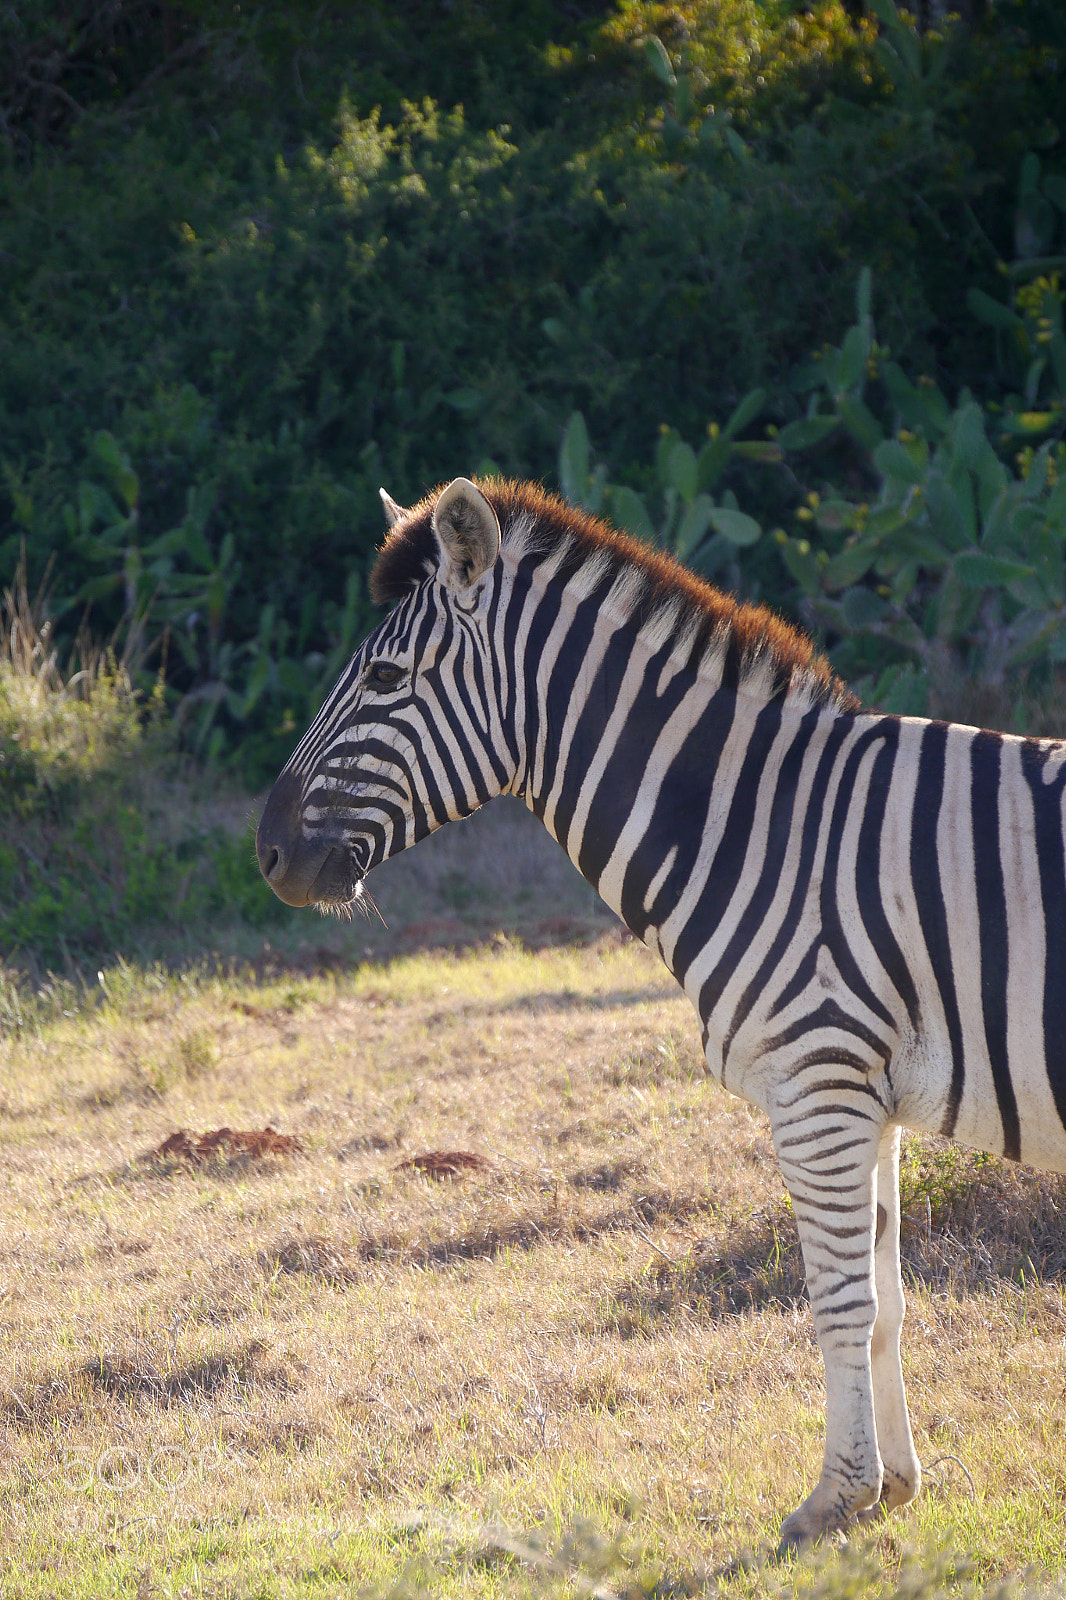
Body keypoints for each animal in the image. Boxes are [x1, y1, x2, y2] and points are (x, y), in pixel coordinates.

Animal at [256, 475, 1066, 1552]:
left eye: (385, 678)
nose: (266, 852)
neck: (766, 828)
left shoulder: (815, 1084)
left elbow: (838, 1304)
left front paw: (833, 1499)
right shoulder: (869, 1097)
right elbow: (888, 1300)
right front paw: (895, 1484)